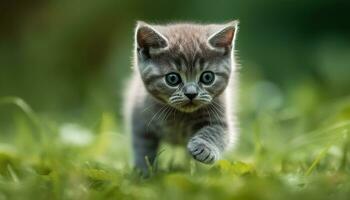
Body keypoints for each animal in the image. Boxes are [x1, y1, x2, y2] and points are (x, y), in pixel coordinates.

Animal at [123, 20, 241, 173]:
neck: (180, 117)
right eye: (172, 78)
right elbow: (143, 148)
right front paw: (143, 171)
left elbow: (216, 132)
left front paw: (203, 148)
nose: (191, 93)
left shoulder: (220, 115)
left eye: (207, 77)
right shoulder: (140, 120)